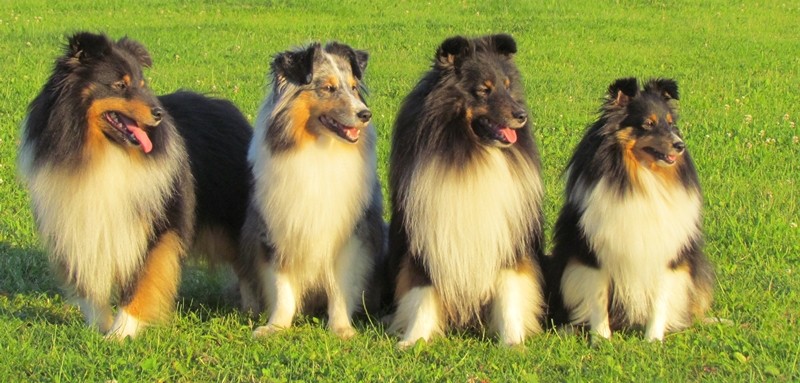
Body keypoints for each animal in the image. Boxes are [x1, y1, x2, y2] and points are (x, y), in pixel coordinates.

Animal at [18, 32, 252, 340]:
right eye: (120, 85)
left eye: (142, 84)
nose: (158, 114)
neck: (103, 154)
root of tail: (230, 109)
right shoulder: (75, 222)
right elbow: (87, 284)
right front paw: (97, 328)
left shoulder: (156, 225)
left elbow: (141, 279)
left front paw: (121, 332)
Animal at [241, 42, 384, 340]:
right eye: (328, 88)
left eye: (354, 87)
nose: (365, 114)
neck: (319, 149)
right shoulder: (276, 229)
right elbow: (282, 287)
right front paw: (276, 326)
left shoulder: (348, 236)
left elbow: (340, 287)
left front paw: (341, 329)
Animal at [386, 33, 548, 348]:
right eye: (484, 90)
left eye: (508, 86)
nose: (522, 115)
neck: (472, 153)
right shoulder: (425, 239)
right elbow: (421, 293)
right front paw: (414, 340)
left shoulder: (508, 240)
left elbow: (510, 292)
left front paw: (512, 342)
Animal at [548, 78, 716, 342]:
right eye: (648, 124)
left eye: (671, 123)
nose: (680, 146)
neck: (640, 177)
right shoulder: (593, 252)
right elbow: (598, 297)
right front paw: (601, 338)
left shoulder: (664, 252)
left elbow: (659, 299)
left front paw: (653, 340)